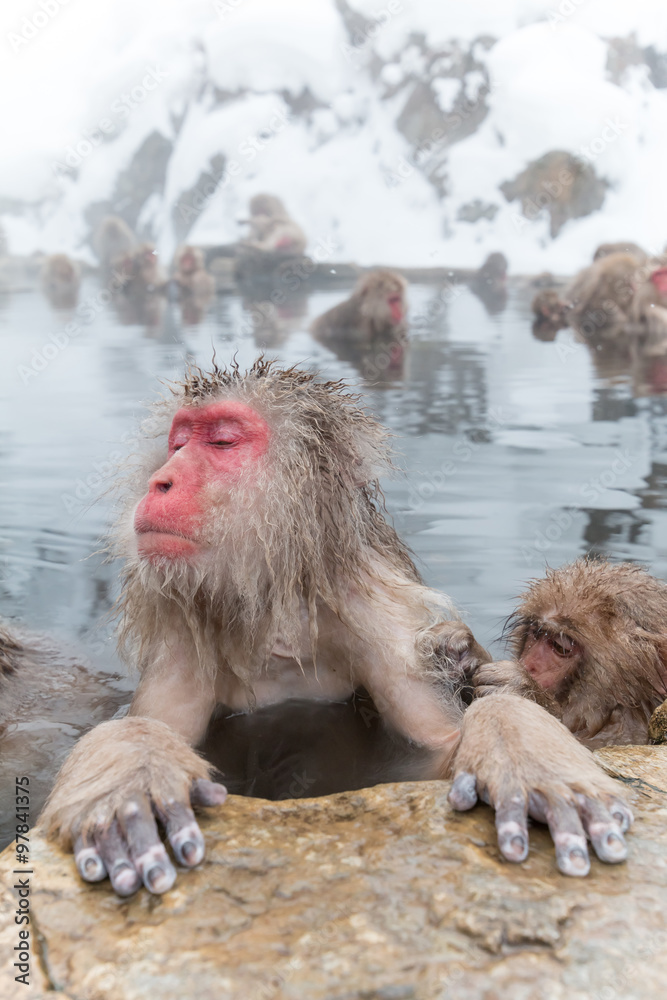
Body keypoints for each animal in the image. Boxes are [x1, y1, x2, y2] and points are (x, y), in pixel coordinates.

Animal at [37, 360, 633, 895]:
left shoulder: (386, 623)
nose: (161, 480)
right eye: (178, 443)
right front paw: (130, 773)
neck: (277, 602)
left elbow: (435, 752)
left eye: (222, 442)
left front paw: (520, 745)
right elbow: (157, 726)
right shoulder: (186, 631)